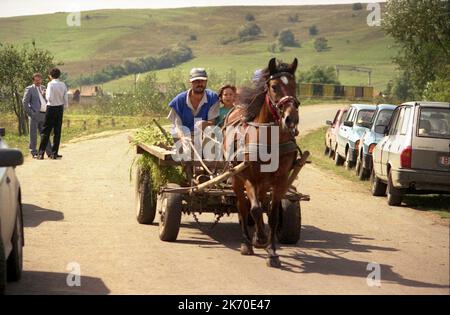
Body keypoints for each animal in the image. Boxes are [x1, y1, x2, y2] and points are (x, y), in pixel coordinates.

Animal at [223, 58, 300, 268]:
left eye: (295, 85)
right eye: (274, 86)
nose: (291, 119)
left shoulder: (280, 180)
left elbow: (272, 215)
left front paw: (271, 251)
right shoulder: (248, 176)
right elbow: (255, 209)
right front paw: (258, 240)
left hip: (264, 182)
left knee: (261, 200)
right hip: (236, 177)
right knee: (243, 205)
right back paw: (247, 241)